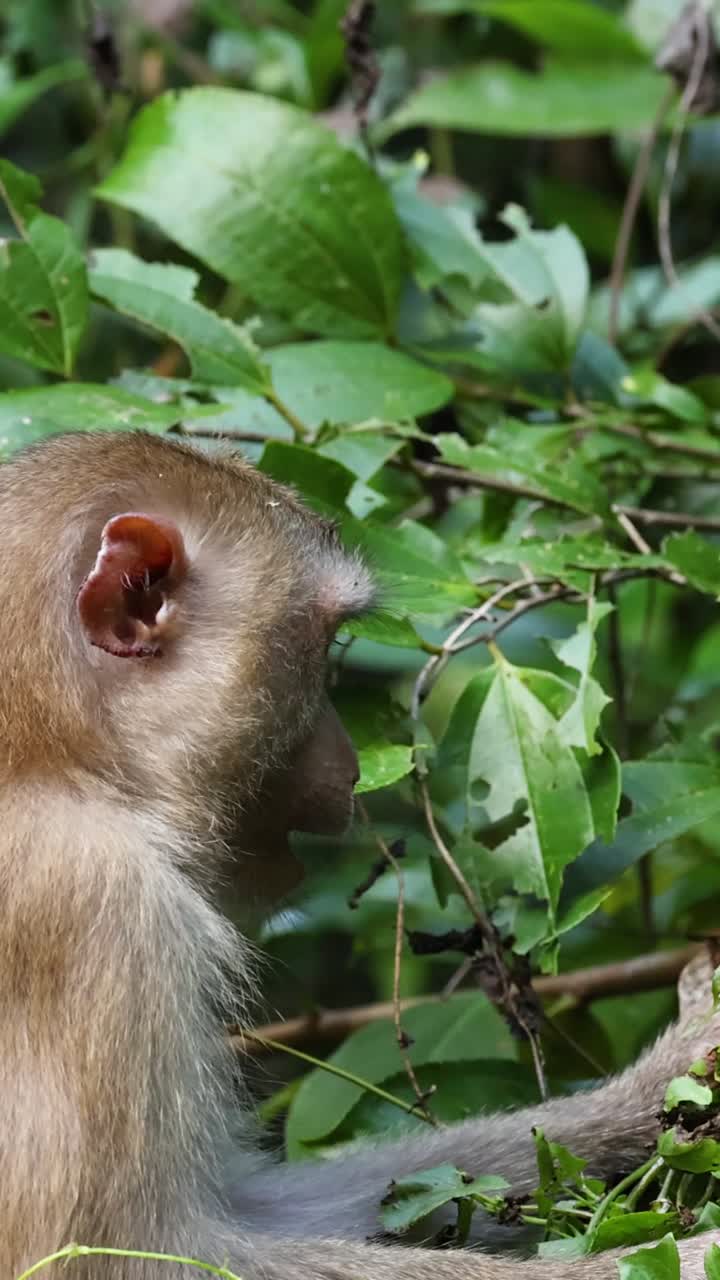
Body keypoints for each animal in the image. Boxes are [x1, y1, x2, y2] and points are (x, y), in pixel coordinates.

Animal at [0, 429, 718, 1280]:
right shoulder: (98, 909)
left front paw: (660, 1086)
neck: (59, 753)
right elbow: (125, 1254)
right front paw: (691, 1254)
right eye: (323, 647)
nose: (348, 765)